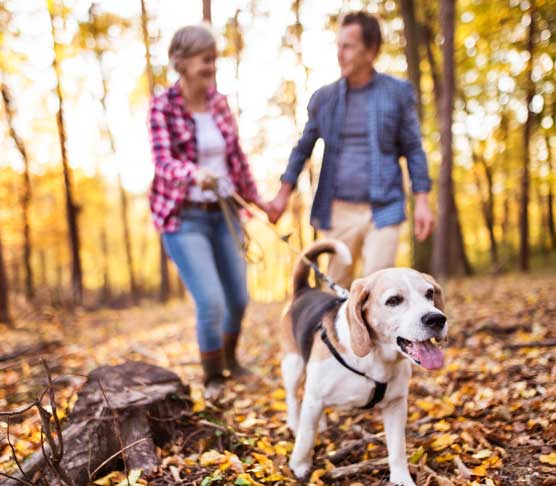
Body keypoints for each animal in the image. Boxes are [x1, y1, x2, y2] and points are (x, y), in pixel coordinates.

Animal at [278, 240, 448, 486]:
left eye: (429, 293)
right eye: (394, 301)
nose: (437, 319)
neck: (375, 358)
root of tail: (304, 290)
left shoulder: (396, 404)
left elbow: (397, 448)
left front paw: (401, 478)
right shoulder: (315, 397)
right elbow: (306, 437)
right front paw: (299, 465)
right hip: (293, 365)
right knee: (293, 397)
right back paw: (295, 422)